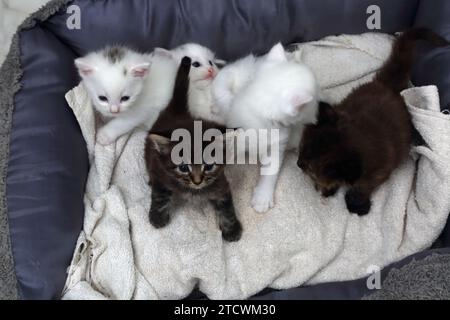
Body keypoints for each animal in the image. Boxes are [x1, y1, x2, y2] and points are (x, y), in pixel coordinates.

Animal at [145, 56, 243, 241]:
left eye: (209, 166)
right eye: (183, 167)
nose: (197, 181)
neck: (194, 190)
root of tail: (177, 112)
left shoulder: (220, 182)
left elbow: (226, 205)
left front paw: (231, 228)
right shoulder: (160, 172)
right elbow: (159, 194)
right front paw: (158, 217)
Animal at [298, 28, 448, 216]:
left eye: (310, 169)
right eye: (301, 148)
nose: (298, 164)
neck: (357, 136)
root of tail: (385, 85)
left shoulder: (378, 171)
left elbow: (360, 188)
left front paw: (355, 204)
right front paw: (330, 188)